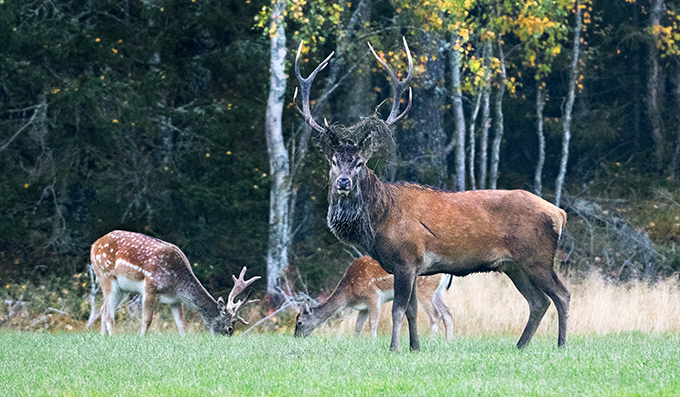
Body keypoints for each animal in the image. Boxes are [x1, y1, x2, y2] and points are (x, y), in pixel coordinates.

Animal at [91, 230, 260, 336]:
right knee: (109, 313)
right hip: (105, 275)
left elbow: (182, 324)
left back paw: (103, 337)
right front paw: (141, 337)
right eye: (230, 328)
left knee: (103, 309)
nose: (225, 338)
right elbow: (147, 320)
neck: (176, 283)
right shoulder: (150, 287)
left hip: (123, 290)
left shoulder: (175, 300)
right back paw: (112, 336)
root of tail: (94, 244)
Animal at [292, 256, 452, 338]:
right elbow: (358, 325)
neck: (349, 295)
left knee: (435, 314)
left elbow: (372, 322)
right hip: (437, 292)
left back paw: (432, 339)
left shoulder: (373, 296)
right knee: (447, 312)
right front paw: (356, 341)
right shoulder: (363, 307)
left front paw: (373, 340)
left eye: (299, 322)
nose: (296, 336)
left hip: (425, 289)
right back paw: (448, 339)